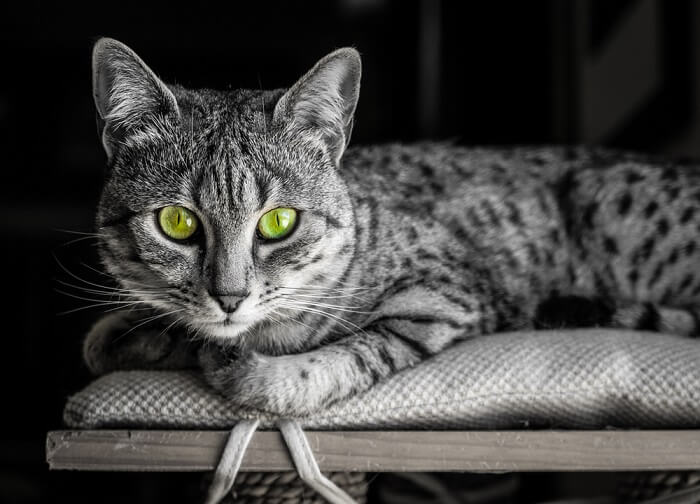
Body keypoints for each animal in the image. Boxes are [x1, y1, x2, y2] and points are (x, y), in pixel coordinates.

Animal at [80, 39, 700, 416]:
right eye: (177, 221)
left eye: (279, 222)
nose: (228, 297)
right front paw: (142, 333)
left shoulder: (446, 297)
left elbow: (336, 361)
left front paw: (248, 369)